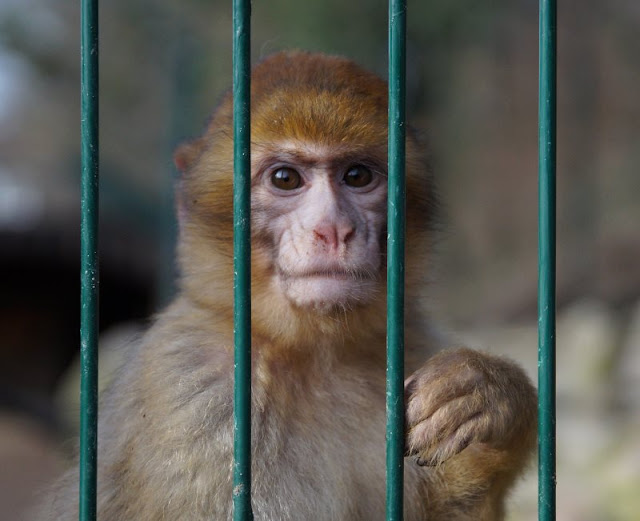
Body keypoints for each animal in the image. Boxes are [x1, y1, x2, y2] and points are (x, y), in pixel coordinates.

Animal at [40, 50, 536, 516]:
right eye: (285, 178)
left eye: (357, 176)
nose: (333, 229)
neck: (316, 355)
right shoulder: (192, 393)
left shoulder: (415, 345)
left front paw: (490, 398)